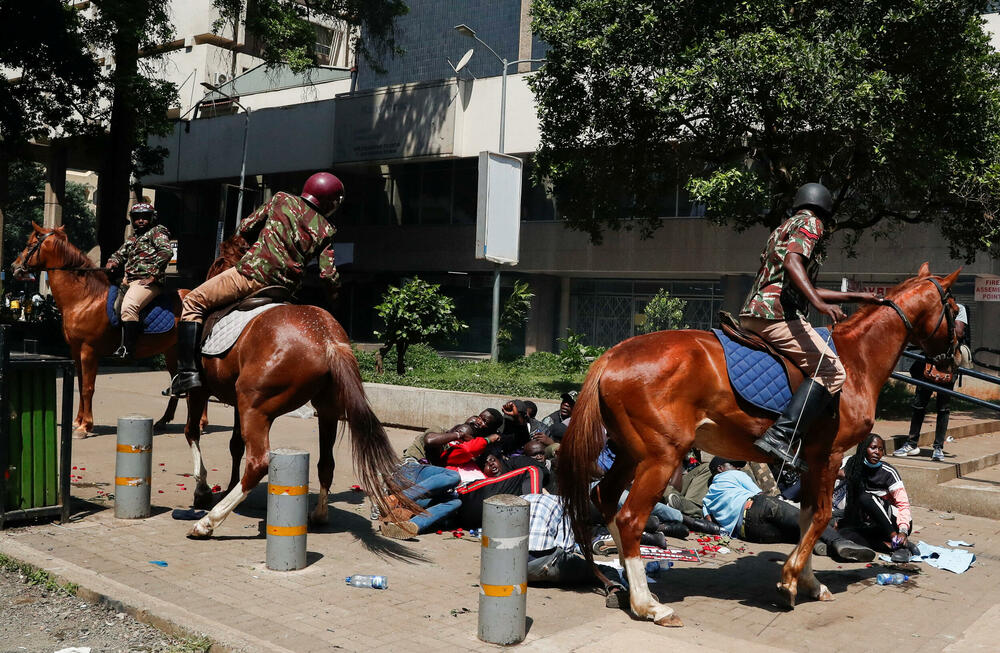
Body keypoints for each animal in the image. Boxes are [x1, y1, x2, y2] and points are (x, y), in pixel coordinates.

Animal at [11, 224, 193, 438]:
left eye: (30, 244)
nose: (14, 267)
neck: (84, 298)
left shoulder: (89, 351)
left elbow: (88, 387)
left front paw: (85, 426)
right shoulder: (76, 351)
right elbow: (80, 384)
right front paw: (78, 421)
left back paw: (198, 424)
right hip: (171, 352)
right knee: (179, 383)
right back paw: (165, 421)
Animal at [180, 237, 414, 536]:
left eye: (217, 263)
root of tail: (326, 338)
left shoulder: (199, 391)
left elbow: (192, 432)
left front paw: (202, 490)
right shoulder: (233, 403)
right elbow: (234, 444)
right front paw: (227, 485)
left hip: (255, 408)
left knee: (258, 462)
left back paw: (209, 521)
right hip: (326, 410)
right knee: (325, 463)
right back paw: (319, 515)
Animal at [564, 264, 960, 628]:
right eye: (955, 310)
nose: (952, 364)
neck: (857, 358)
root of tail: (613, 355)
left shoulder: (811, 460)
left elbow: (806, 517)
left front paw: (808, 582)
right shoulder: (830, 457)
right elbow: (821, 516)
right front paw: (790, 580)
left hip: (631, 454)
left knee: (605, 498)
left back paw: (627, 583)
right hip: (660, 457)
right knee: (630, 518)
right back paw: (648, 605)